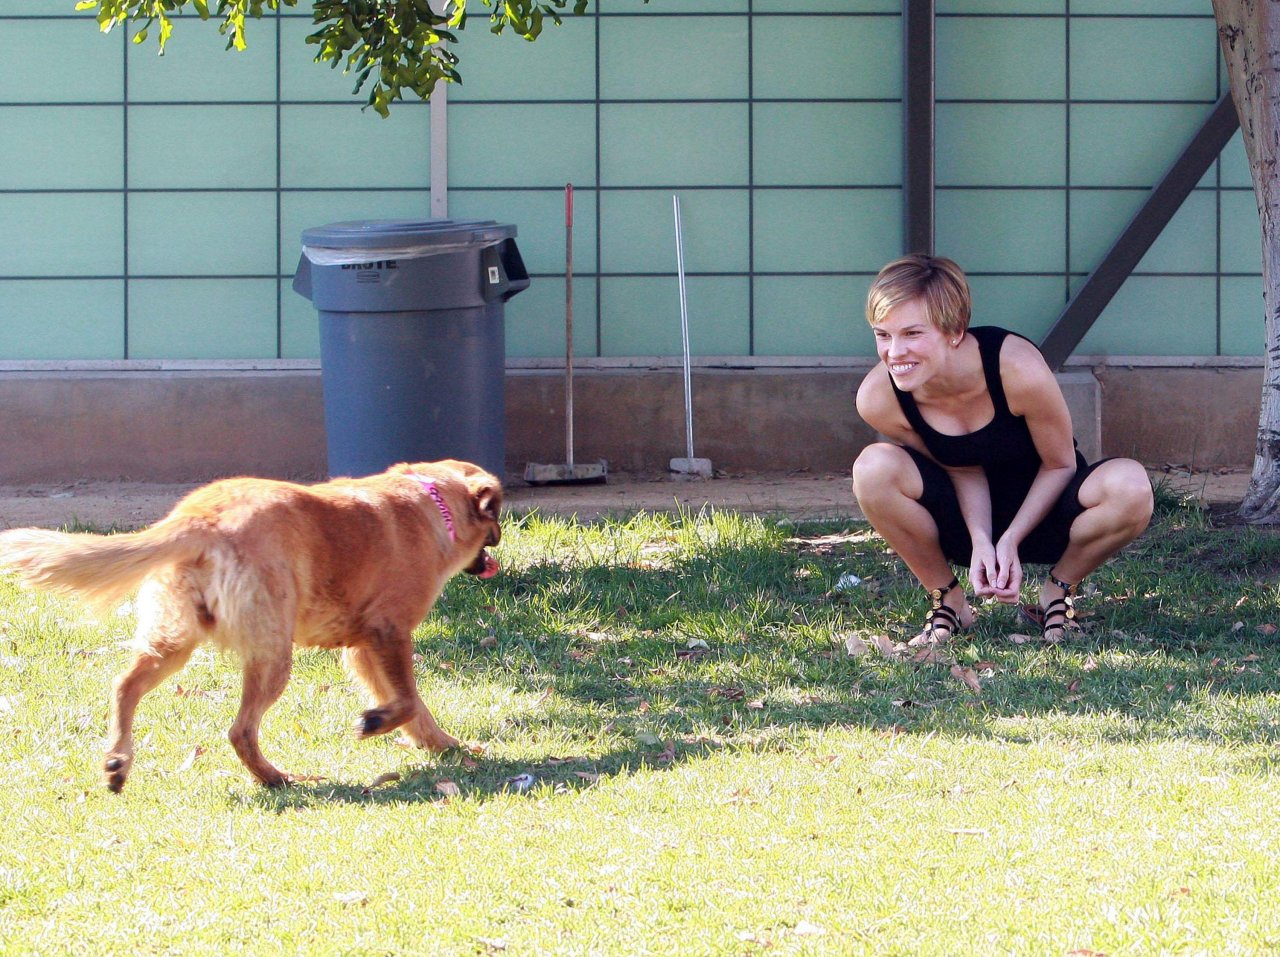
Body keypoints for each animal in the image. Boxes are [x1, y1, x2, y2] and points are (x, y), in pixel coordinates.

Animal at [0, 460, 501, 788]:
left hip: (174, 641)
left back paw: (118, 760)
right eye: (494, 516)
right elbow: (410, 700)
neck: (433, 503)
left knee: (124, 685)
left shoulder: (362, 651)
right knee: (240, 730)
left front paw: (440, 744)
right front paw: (380, 724)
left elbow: (414, 709)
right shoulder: (389, 633)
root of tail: (199, 519)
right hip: (274, 654)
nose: (498, 541)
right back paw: (277, 778)